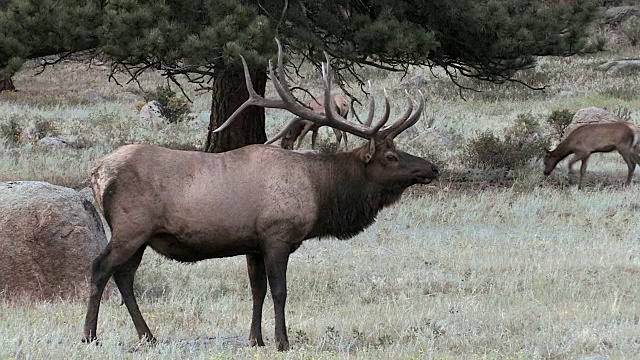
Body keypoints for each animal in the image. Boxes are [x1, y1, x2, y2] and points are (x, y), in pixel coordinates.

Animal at [81, 40, 440, 352]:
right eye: (391, 156)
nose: (432, 168)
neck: (319, 193)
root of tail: (97, 172)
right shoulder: (277, 234)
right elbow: (279, 291)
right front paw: (283, 341)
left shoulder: (252, 243)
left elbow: (257, 291)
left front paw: (257, 339)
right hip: (131, 226)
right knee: (101, 268)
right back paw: (90, 336)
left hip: (142, 235)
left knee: (125, 276)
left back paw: (148, 336)